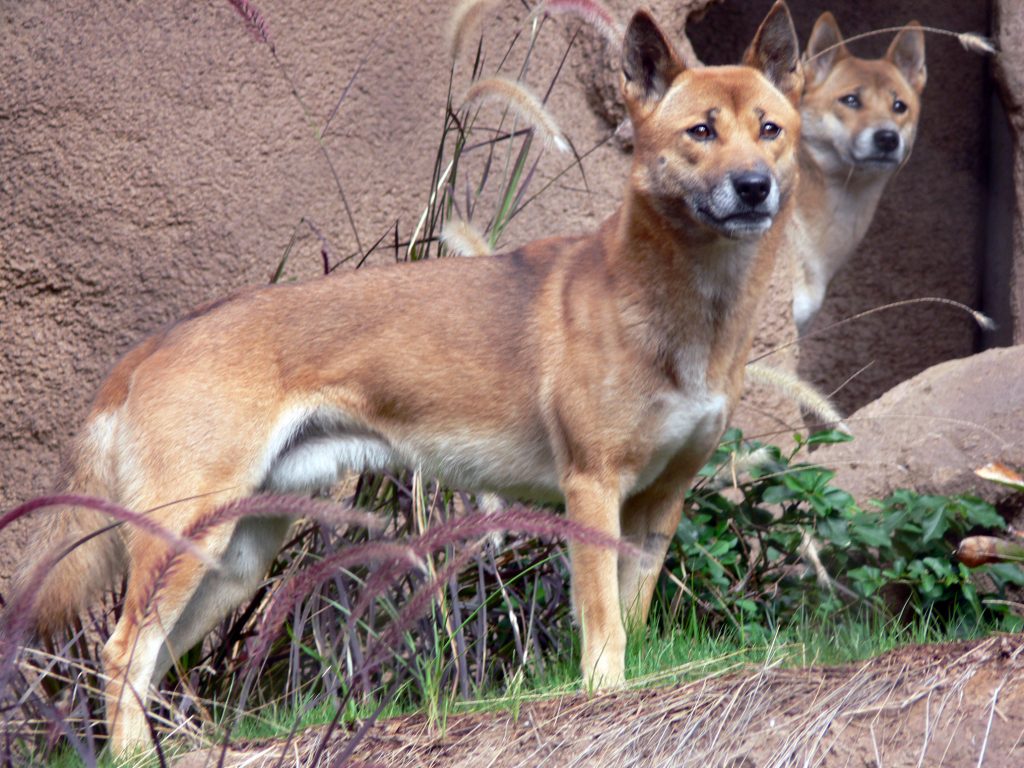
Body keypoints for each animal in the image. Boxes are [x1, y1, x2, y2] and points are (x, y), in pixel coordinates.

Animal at [24, 3, 802, 753]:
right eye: (701, 130)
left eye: (770, 130)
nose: (754, 186)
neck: (683, 313)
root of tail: (157, 340)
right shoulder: (593, 485)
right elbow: (603, 623)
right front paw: (604, 695)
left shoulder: (660, 498)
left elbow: (633, 618)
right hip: (186, 541)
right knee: (122, 651)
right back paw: (133, 753)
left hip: (234, 560)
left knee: (149, 661)